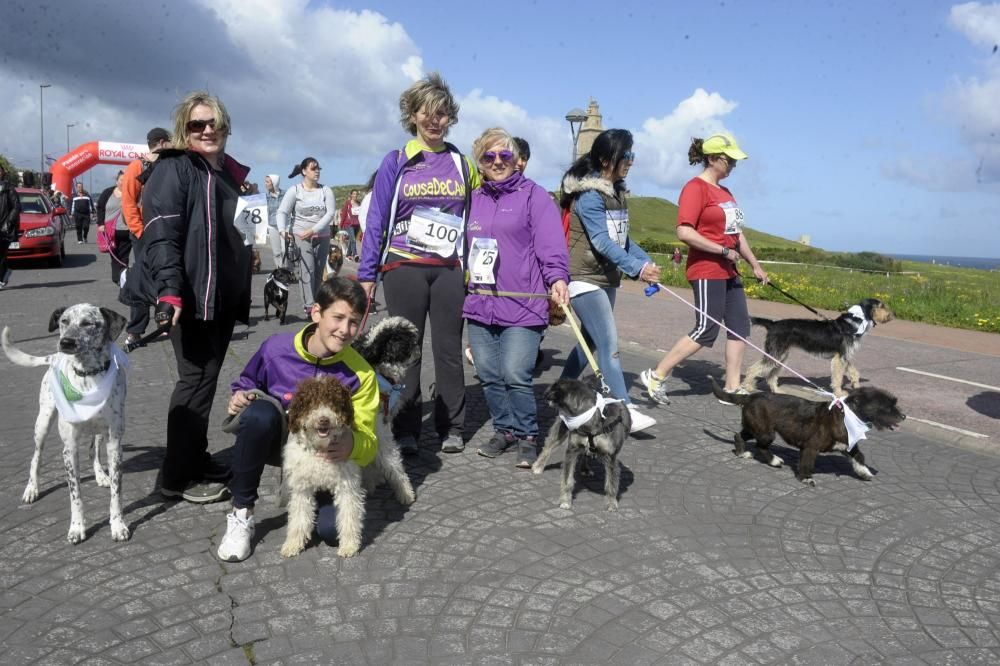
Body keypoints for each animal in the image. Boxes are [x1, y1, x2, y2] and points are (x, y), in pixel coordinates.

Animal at [0, 304, 131, 544]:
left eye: (88, 323)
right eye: (64, 321)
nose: (66, 342)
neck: (88, 375)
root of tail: (54, 358)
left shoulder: (115, 443)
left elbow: (116, 493)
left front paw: (118, 525)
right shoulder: (69, 449)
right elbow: (75, 494)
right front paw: (77, 528)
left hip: (100, 432)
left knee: (93, 451)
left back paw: (100, 474)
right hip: (42, 423)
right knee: (36, 457)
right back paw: (31, 488)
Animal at [280, 374, 366, 556]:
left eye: (332, 401)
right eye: (311, 403)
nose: (323, 419)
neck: (320, 449)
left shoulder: (347, 486)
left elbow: (349, 516)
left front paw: (349, 545)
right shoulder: (301, 488)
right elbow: (299, 518)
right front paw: (293, 544)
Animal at [536, 376, 628, 510]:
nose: (544, 394)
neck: (591, 416)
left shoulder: (611, 457)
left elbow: (611, 483)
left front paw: (611, 503)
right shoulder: (571, 450)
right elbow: (567, 480)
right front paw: (565, 500)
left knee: (586, 453)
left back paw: (585, 468)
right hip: (561, 429)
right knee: (548, 446)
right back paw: (538, 466)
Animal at [712, 376, 908, 486]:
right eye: (887, 407)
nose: (904, 416)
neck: (846, 415)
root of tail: (750, 397)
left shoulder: (848, 445)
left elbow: (859, 456)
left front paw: (864, 472)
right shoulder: (810, 447)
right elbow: (807, 463)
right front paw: (806, 478)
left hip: (755, 428)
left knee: (739, 435)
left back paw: (742, 452)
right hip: (766, 432)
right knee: (761, 446)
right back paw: (773, 461)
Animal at [740, 296, 896, 394]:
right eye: (881, 305)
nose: (893, 314)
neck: (855, 322)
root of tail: (772, 324)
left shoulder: (844, 356)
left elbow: (853, 371)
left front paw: (855, 383)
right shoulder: (839, 358)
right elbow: (838, 378)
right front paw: (840, 393)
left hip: (781, 356)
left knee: (771, 375)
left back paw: (776, 390)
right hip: (775, 354)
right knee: (753, 369)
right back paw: (748, 387)